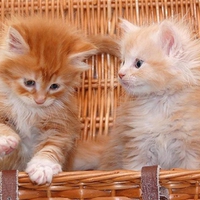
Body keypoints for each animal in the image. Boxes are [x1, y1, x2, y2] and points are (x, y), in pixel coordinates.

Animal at [0, 16, 98, 185]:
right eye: (29, 82)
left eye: (54, 86)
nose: (40, 100)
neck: (29, 109)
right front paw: (5, 139)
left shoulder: (61, 124)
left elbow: (52, 145)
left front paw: (43, 166)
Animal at [99, 18, 200, 171]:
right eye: (123, 62)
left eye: (138, 63)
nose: (120, 74)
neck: (160, 103)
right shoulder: (138, 147)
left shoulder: (191, 149)